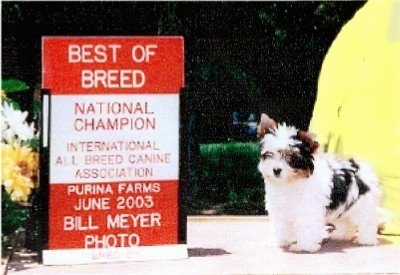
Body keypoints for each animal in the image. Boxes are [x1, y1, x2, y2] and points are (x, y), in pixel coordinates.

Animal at [258, 114, 380, 254]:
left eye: (292, 158)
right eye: (269, 154)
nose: (276, 170)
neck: (290, 182)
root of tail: (361, 168)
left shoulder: (308, 208)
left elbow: (307, 226)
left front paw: (304, 246)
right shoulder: (279, 208)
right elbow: (280, 225)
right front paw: (278, 241)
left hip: (363, 205)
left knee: (367, 220)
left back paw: (366, 239)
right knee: (344, 220)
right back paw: (342, 235)